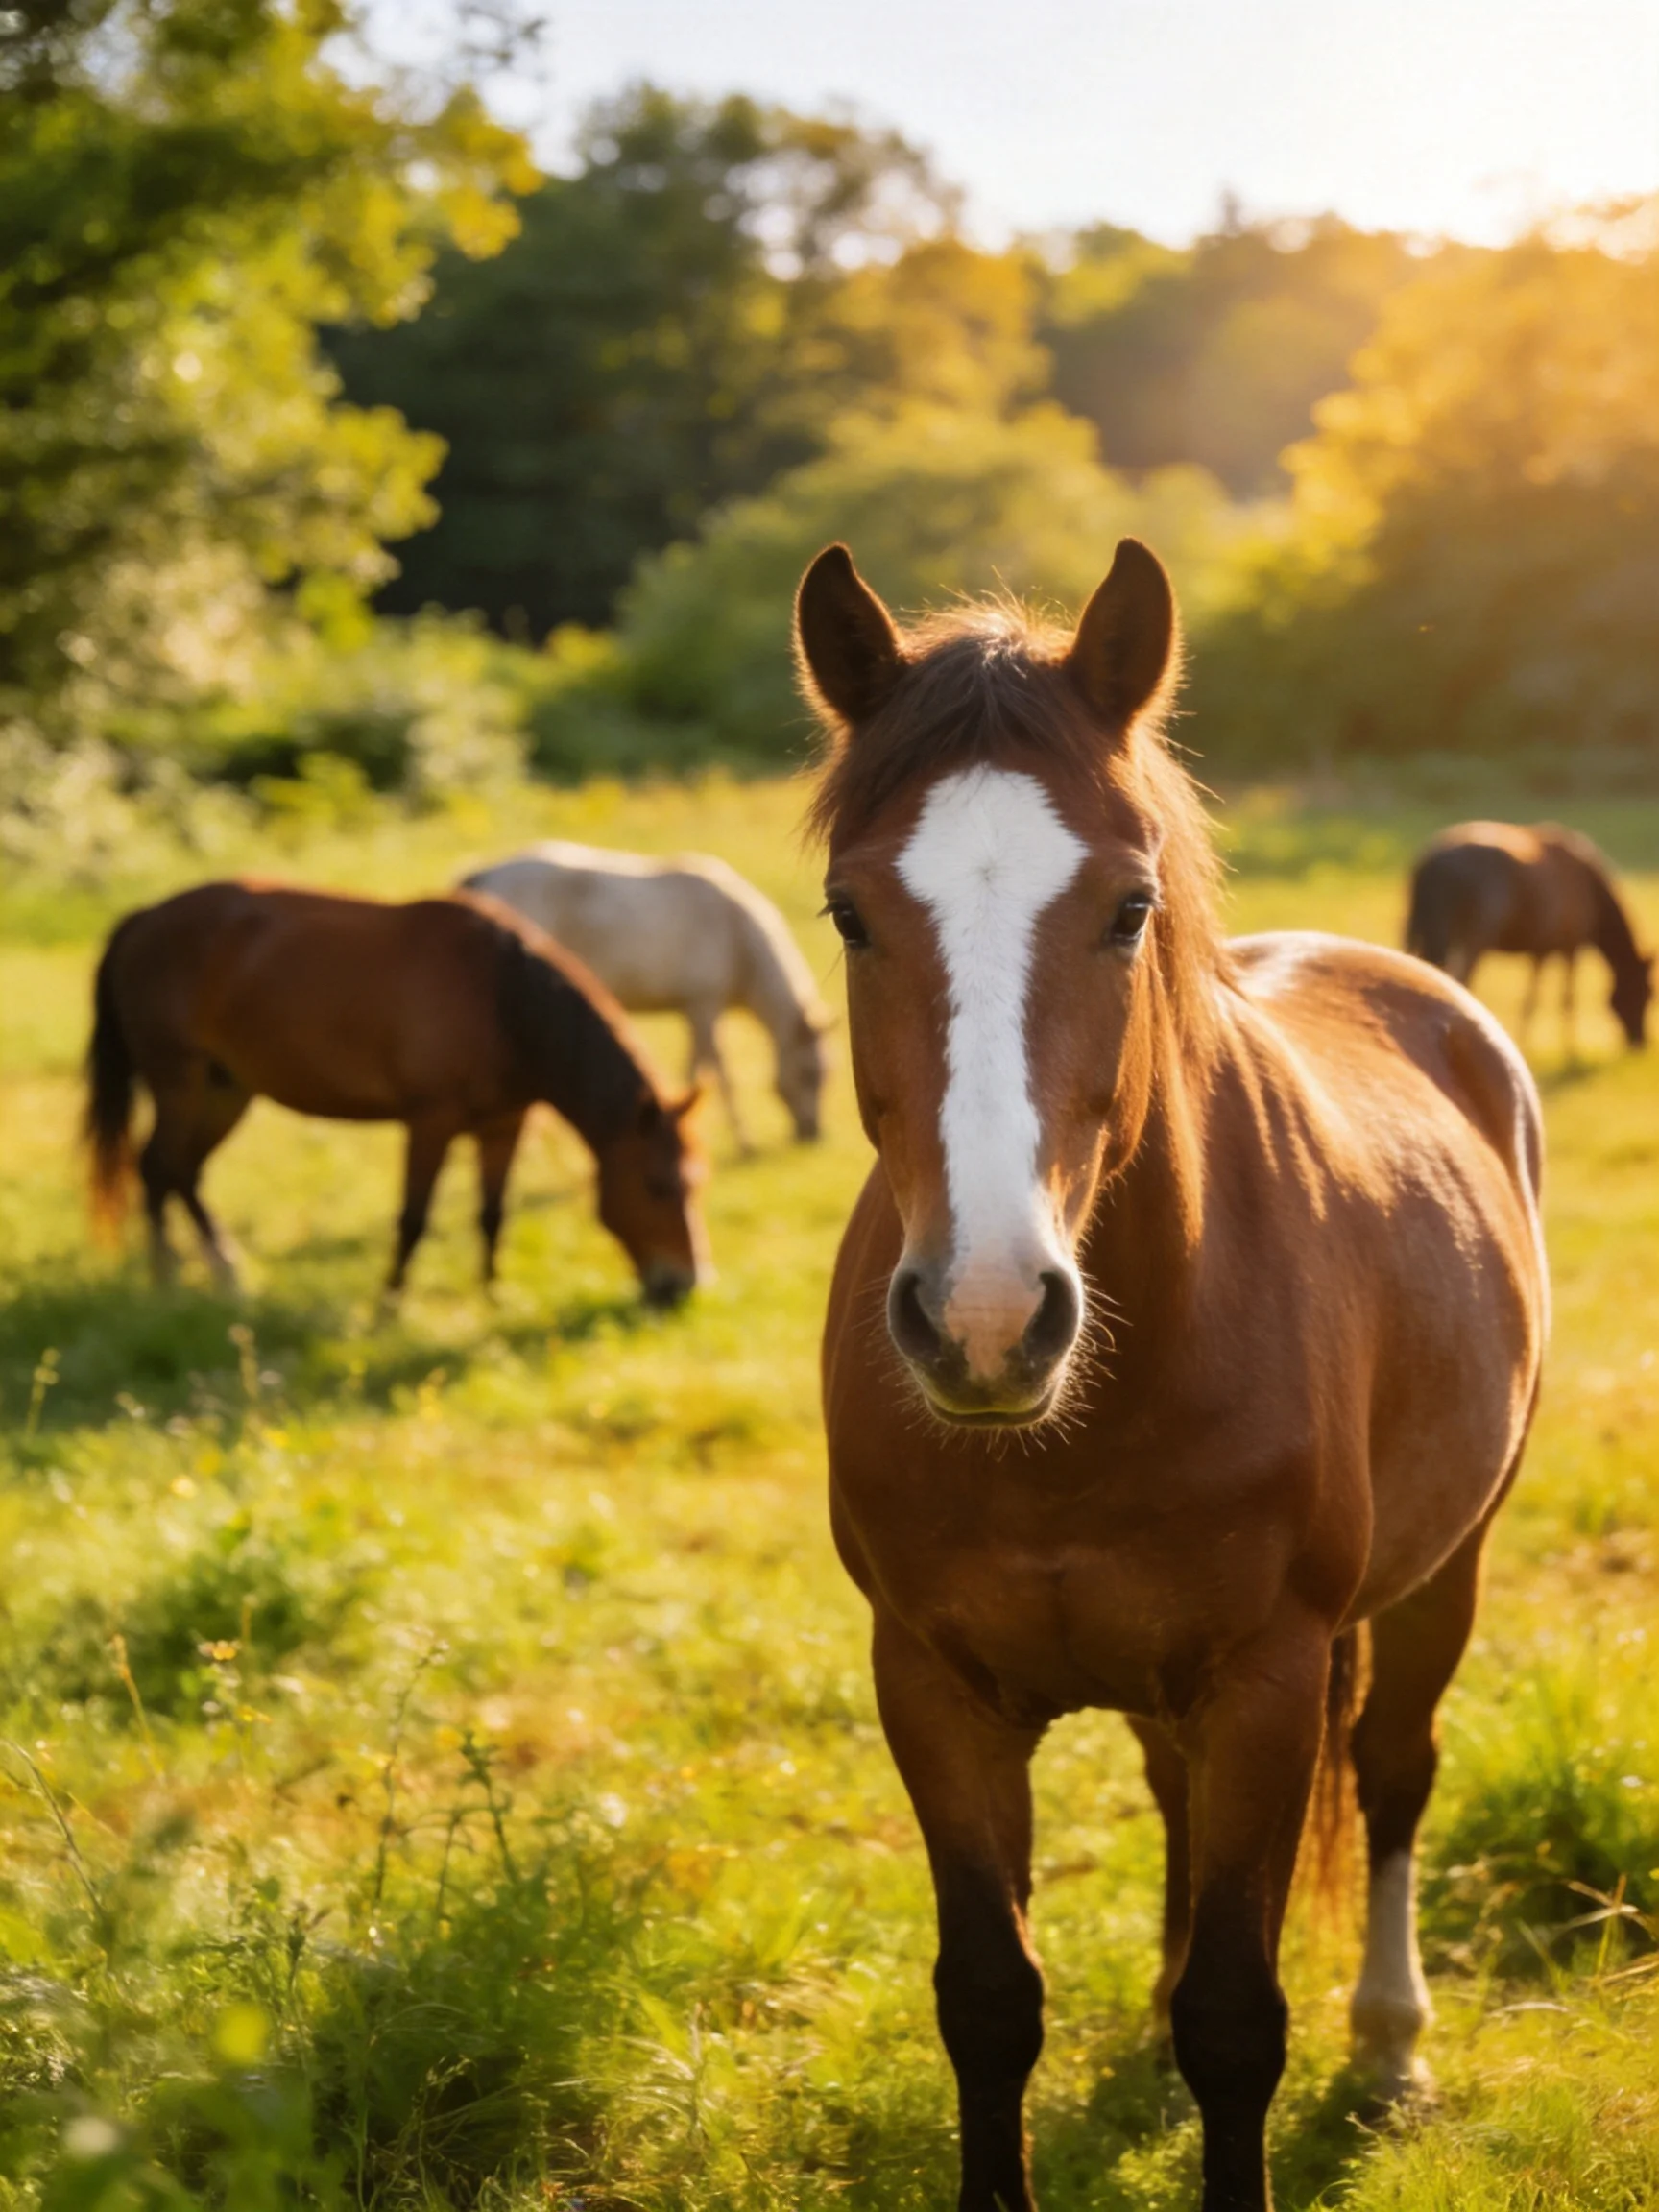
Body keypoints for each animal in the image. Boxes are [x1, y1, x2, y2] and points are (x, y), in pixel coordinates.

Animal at [84, 882, 710, 1307]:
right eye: (657, 1185)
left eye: (696, 1185)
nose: (686, 1285)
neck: (502, 1001)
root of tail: (142, 919)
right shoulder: (430, 1122)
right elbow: (413, 1218)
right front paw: (388, 1308)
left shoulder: (504, 1125)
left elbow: (492, 1215)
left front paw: (492, 1296)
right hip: (178, 1081)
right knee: (156, 1167)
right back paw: (168, 1281)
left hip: (226, 1090)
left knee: (183, 1173)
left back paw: (223, 1272)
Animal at [461, 842, 832, 1153]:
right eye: (811, 1072)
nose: (812, 1134)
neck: (737, 937)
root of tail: (483, 876)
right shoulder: (704, 1005)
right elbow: (721, 1073)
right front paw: (745, 1143)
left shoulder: (691, 1011)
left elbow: (694, 1068)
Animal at [800, 539, 1546, 2212]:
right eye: (850, 913)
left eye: (1128, 906)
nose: (987, 1318)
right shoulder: (930, 1684)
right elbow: (989, 1998)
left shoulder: (1269, 1677)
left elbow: (1238, 2019)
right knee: (1175, 1796)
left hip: (1443, 1573)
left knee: (1394, 1772)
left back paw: (1389, 2045)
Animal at [1406, 819, 1652, 1052]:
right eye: (1648, 992)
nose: (1639, 1041)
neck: (1590, 888)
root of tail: (1429, 863)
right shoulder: (1569, 946)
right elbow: (1564, 998)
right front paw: (1569, 1049)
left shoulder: (1541, 950)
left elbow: (1532, 1000)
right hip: (1472, 938)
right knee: (1461, 979)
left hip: (1422, 931)